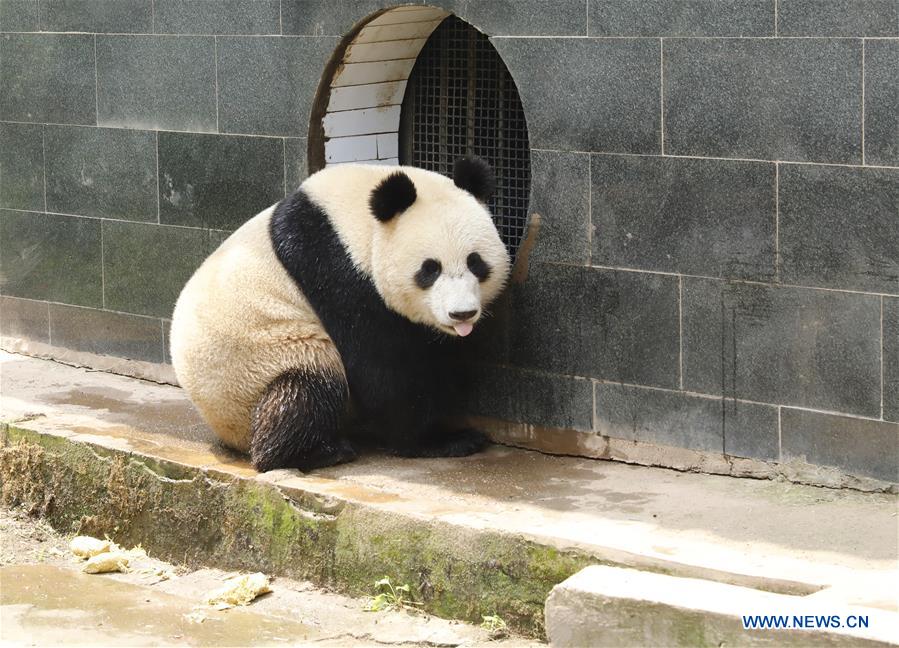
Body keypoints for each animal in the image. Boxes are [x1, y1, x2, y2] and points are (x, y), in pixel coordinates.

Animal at [170, 157, 512, 470]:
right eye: (430, 269)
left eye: (475, 263)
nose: (462, 314)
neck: (354, 221)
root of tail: (227, 431)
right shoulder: (336, 272)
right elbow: (380, 367)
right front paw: (442, 439)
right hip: (262, 364)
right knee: (309, 390)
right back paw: (317, 452)